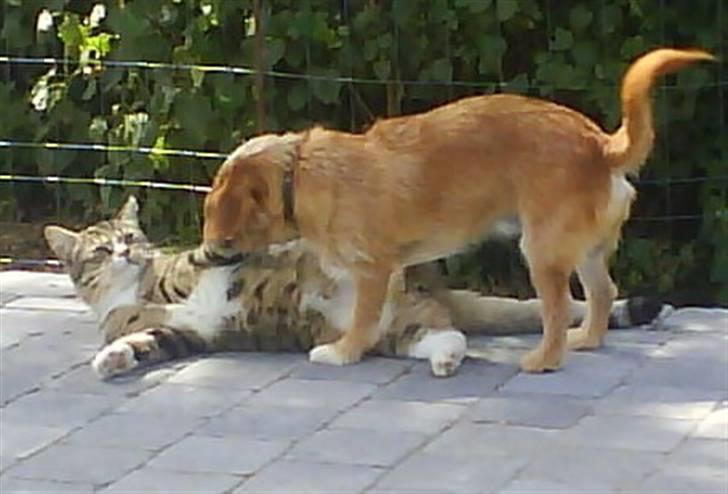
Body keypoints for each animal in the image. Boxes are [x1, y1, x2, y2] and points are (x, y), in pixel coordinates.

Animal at [44, 197, 672, 378]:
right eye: (101, 248)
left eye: (131, 236)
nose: (127, 251)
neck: (130, 292)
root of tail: (431, 288)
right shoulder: (187, 336)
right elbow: (143, 341)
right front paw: (112, 360)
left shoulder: (185, 278)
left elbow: (197, 267)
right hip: (395, 328)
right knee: (441, 336)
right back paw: (443, 358)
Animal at [202, 48, 712, 372]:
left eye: (221, 231)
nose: (205, 254)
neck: (300, 172)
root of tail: (600, 145)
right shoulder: (383, 273)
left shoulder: (372, 270)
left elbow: (364, 319)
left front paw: (345, 352)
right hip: (583, 249)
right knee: (603, 292)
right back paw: (586, 339)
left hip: (542, 250)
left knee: (559, 308)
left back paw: (545, 360)